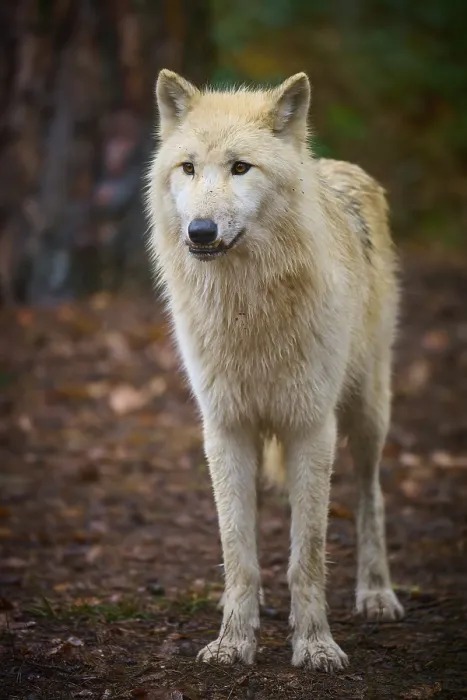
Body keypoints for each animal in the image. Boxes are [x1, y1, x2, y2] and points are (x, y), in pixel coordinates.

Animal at [146, 69, 404, 671]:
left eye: (241, 167)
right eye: (187, 167)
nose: (200, 231)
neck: (249, 310)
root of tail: (338, 167)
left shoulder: (312, 428)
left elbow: (307, 555)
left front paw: (315, 645)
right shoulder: (225, 428)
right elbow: (237, 549)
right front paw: (233, 641)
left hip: (366, 414)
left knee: (371, 495)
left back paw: (377, 593)